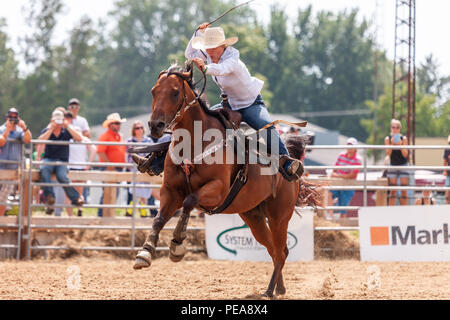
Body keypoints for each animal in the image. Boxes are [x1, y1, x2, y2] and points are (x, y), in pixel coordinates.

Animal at [132, 62, 318, 298]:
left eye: (175, 92)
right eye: (153, 91)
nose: (155, 126)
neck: (195, 142)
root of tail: (290, 167)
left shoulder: (217, 190)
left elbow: (189, 201)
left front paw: (177, 245)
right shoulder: (170, 191)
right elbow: (158, 219)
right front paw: (144, 254)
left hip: (279, 216)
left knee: (281, 251)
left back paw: (269, 290)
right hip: (254, 217)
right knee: (275, 250)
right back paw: (279, 288)